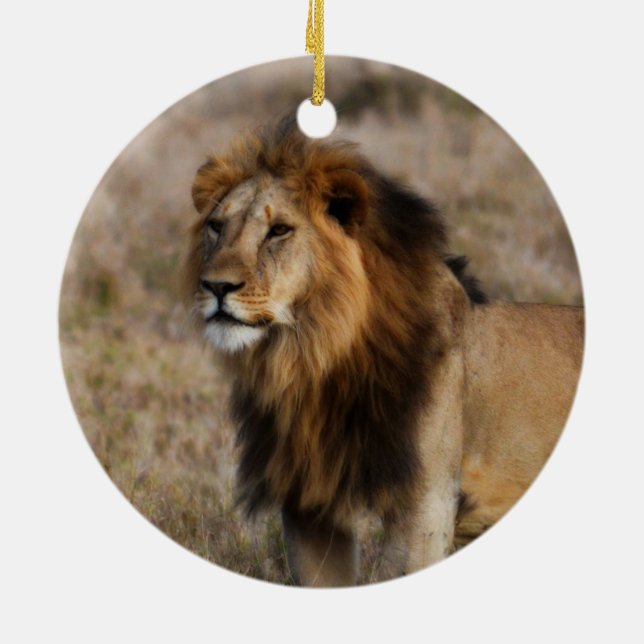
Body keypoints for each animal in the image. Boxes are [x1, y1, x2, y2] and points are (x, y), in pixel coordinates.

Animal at [183, 118, 584, 586]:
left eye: (279, 230)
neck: (314, 360)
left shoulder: (425, 503)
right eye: (216, 226)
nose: (216, 287)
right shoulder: (308, 503)